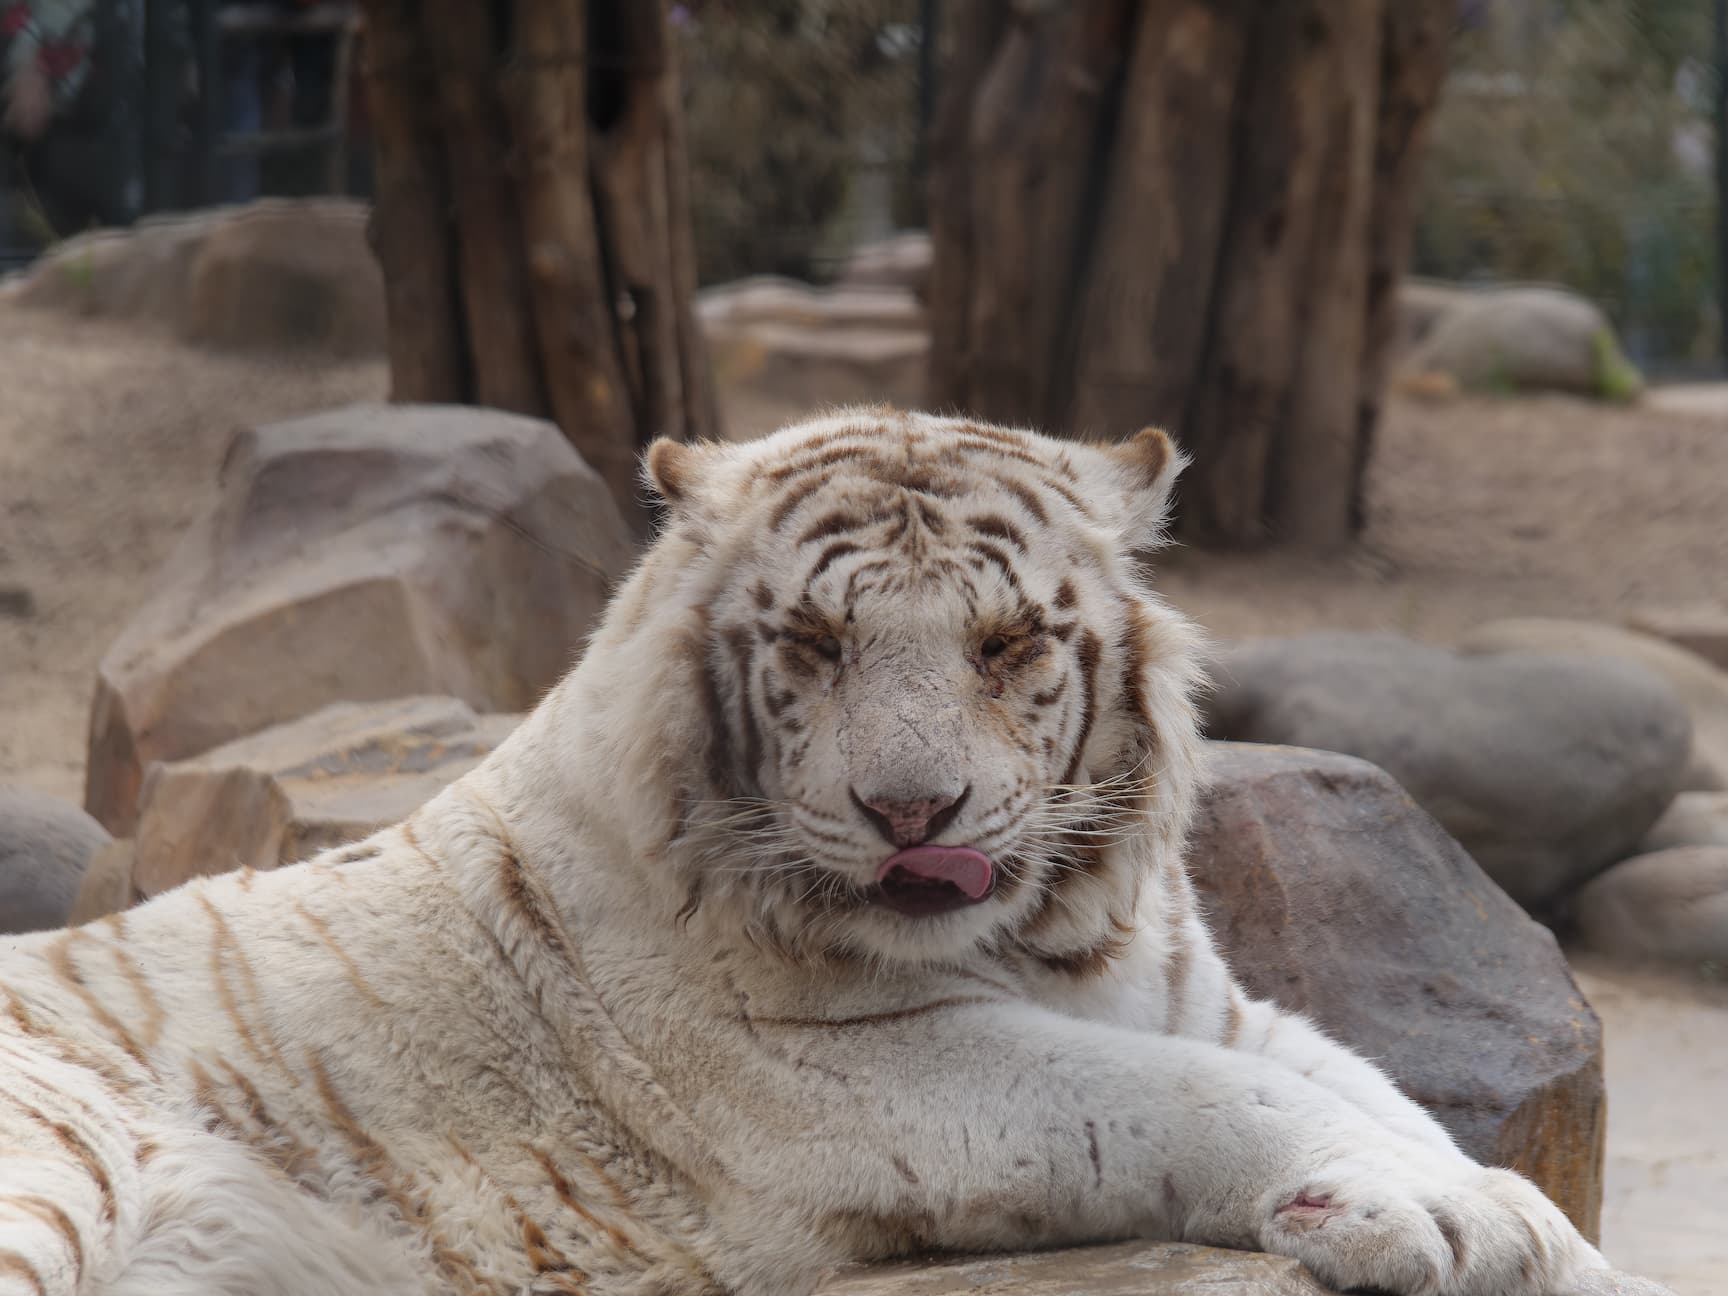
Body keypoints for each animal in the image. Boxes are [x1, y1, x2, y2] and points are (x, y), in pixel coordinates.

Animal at [0, 409, 1609, 1296]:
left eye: (1005, 643)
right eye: (820, 644)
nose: (915, 813)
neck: (1057, 934)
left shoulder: (1211, 1000)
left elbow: (1379, 1091)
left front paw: (1545, 1237)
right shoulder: (845, 1070)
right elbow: (1204, 1099)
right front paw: (1445, 1216)